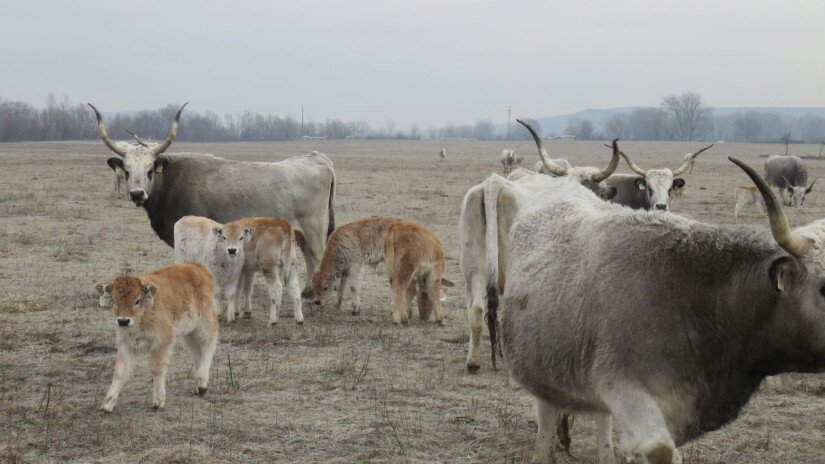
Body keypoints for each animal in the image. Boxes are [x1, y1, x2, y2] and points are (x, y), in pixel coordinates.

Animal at [89, 103, 334, 296]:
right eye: (127, 171)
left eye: (150, 171)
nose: (137, 194)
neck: (174, 182)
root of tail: (318, 159)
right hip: (300, 233)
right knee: (309, 257)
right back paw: (307, 291)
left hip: (314, 229)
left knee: (317, 256)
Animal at [93, 262, 217, 412]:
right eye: (114, 300)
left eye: (137, 300)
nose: (123, 321)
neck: (144, 314)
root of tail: (195, 266)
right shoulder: (125, 343)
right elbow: (120, 371)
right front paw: (107, 404)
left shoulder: (162, 342)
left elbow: (157, 369)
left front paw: (158, 401)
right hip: (190, 332)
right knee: (196, 351)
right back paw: (199, 385)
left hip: (205, 324)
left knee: (208, 346)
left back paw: (203, 383)